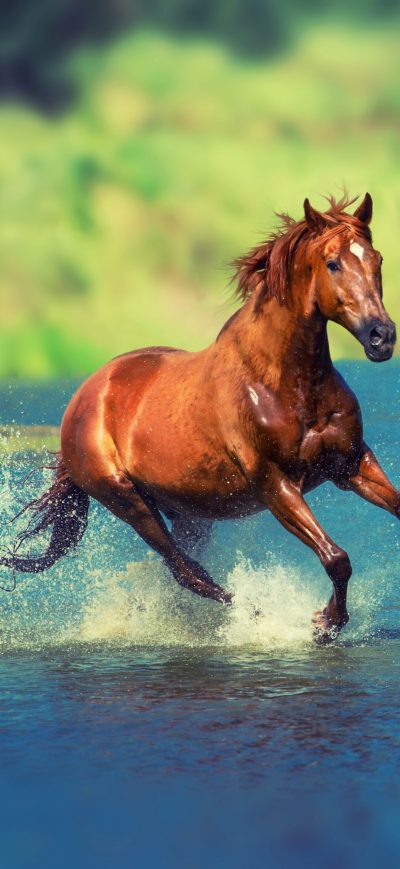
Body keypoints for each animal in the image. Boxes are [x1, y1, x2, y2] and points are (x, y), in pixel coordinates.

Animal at [2, 192, 398, 643]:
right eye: (333, 263)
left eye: (377, 259)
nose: (382, 337)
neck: (285, 382)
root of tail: (83, 399)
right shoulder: (275, 484)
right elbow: (336, 557)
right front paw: (324, 623)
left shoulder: (351, 463)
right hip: (126, 499)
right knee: (186, 571)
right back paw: (256, 616)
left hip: (189, 511)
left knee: (182, 569)